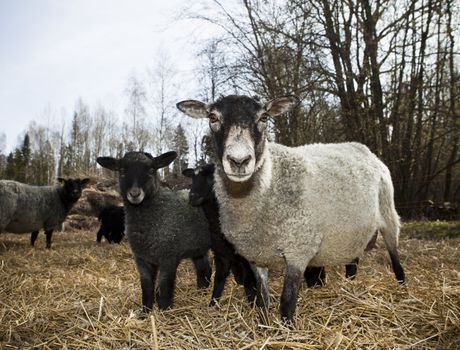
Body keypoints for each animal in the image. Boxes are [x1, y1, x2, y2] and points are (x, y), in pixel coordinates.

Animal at [97, 152, 212, 314]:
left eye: (151, 170)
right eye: (122, 170)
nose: (135, 193)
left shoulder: (169, 257)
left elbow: (164, 287)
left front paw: (164, 311)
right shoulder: (142, 258)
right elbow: (146, 287)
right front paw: (145, 312)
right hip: (197, 246)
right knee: (204, 269)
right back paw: (201, 293)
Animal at [181, 163, 258, 304]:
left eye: (211, 177)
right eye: (193, 178)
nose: (192, 196)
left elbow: (249, 282)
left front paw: (254, 304)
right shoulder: (220, 252)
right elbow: (219, 278)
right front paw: (213, 303)